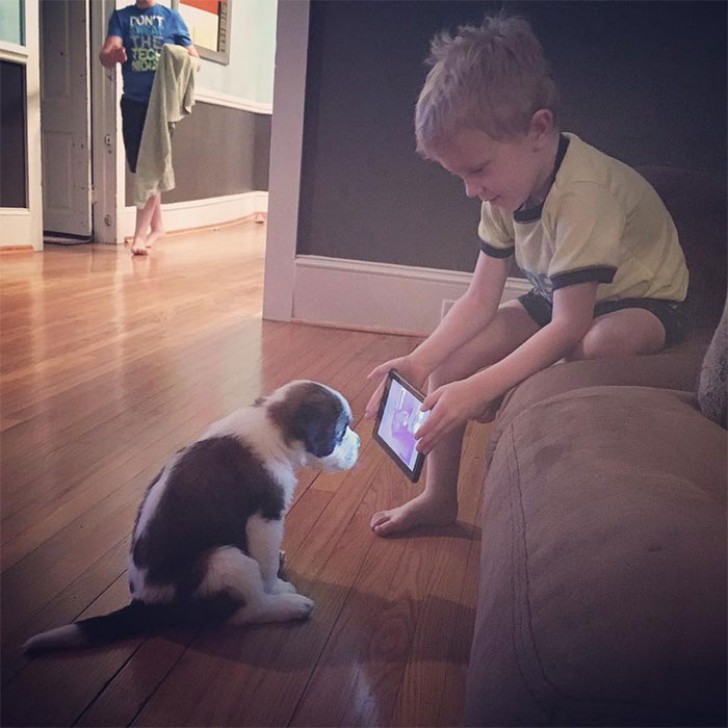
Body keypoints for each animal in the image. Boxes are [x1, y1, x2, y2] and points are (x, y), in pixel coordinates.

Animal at [24, 382, 360, 656]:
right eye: (340, 432)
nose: (358, 444)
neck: (270, 425)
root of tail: (143, 606)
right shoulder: (265, 520)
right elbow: (264, 567)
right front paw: (277, 586)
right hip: (225, 560)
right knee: (245, 610)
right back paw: (289, 605)